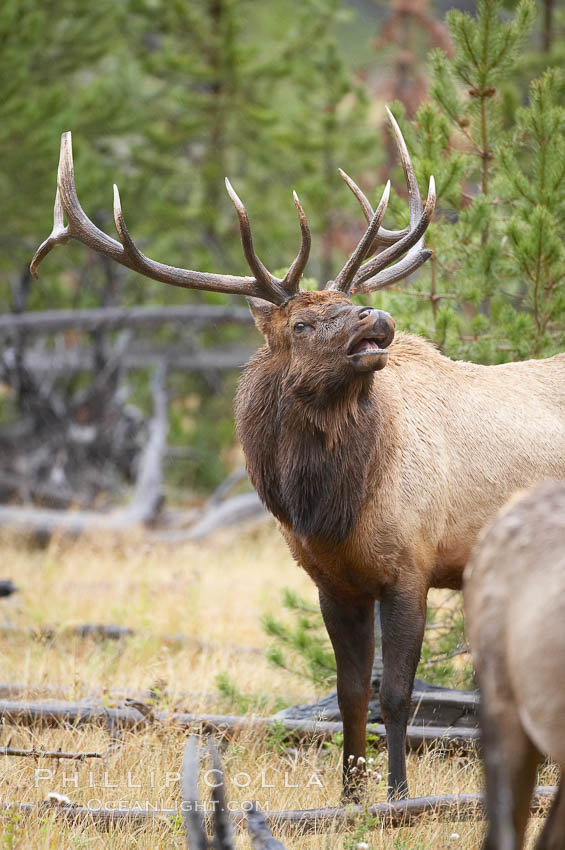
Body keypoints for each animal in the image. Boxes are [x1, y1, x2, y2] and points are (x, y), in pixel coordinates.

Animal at [32, 109, 565, 800]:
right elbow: (348, 695)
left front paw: (397, 797)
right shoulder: (332, 581)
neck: (331, 506)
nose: (375, 315)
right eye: (305, 324)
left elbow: (398, 696)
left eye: (344, 307)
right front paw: (349, 797)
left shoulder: (412, 564)